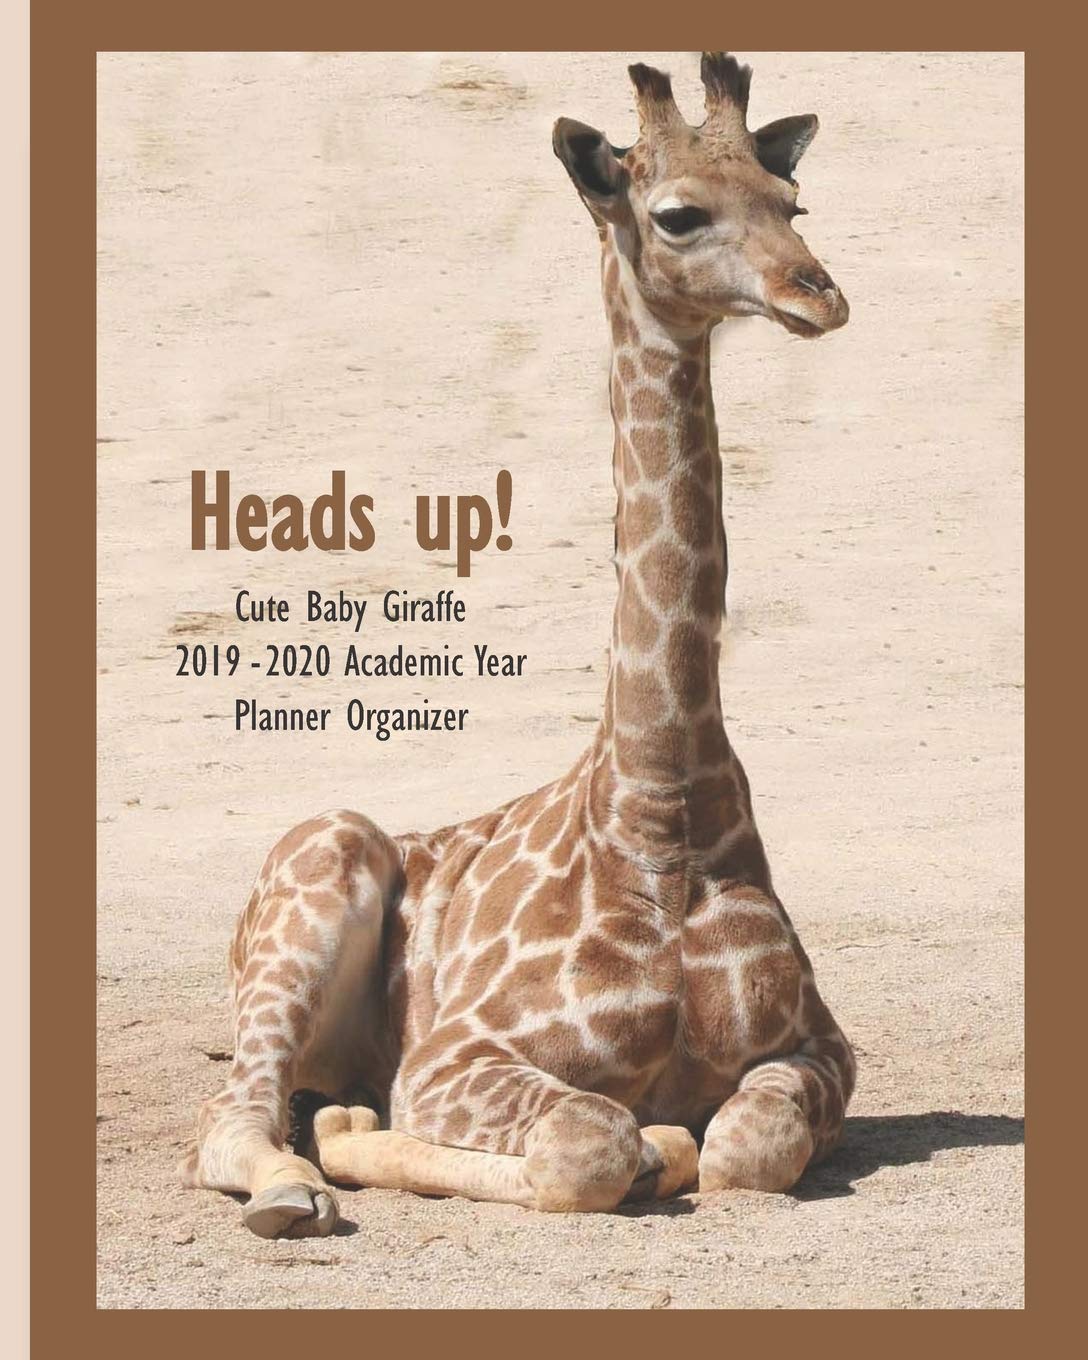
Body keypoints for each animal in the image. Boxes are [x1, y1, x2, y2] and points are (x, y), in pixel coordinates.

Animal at [180, 52, 855, 1239]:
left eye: (792, 203)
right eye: (678, 214)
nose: (815, 292)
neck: (660, 813)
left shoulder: (824, 1047)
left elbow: (746, 1144)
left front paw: (687, 1144)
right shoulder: (453, 1058)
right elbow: (592, 1143)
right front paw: (651, 1148)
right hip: (314, 871)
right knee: (238, 1119)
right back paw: (299, 1182)